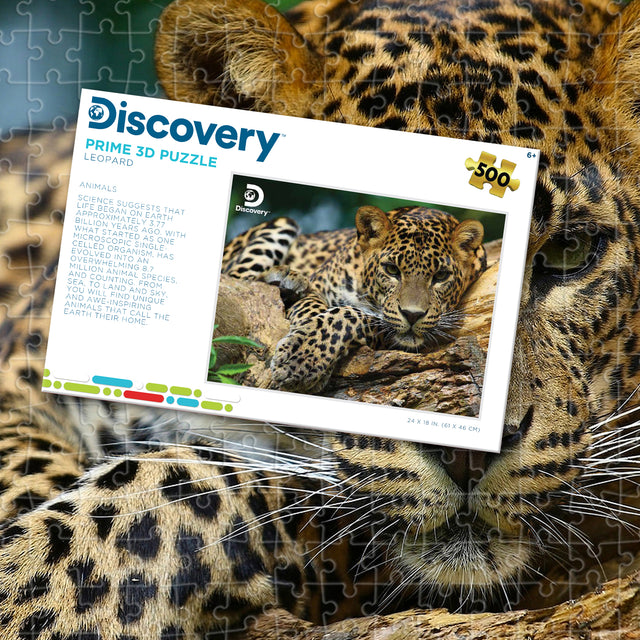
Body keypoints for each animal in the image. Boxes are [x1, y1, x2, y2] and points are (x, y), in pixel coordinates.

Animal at [222, 205, 487, 393]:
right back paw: (284, 277)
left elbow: (346, 316)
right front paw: (302, 353)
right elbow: (314, 309)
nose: (412, 315)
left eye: (441, 276)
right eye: (392, 270)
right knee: (238, 279)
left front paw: (303, 360)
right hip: (281, 225)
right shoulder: (318, 285)